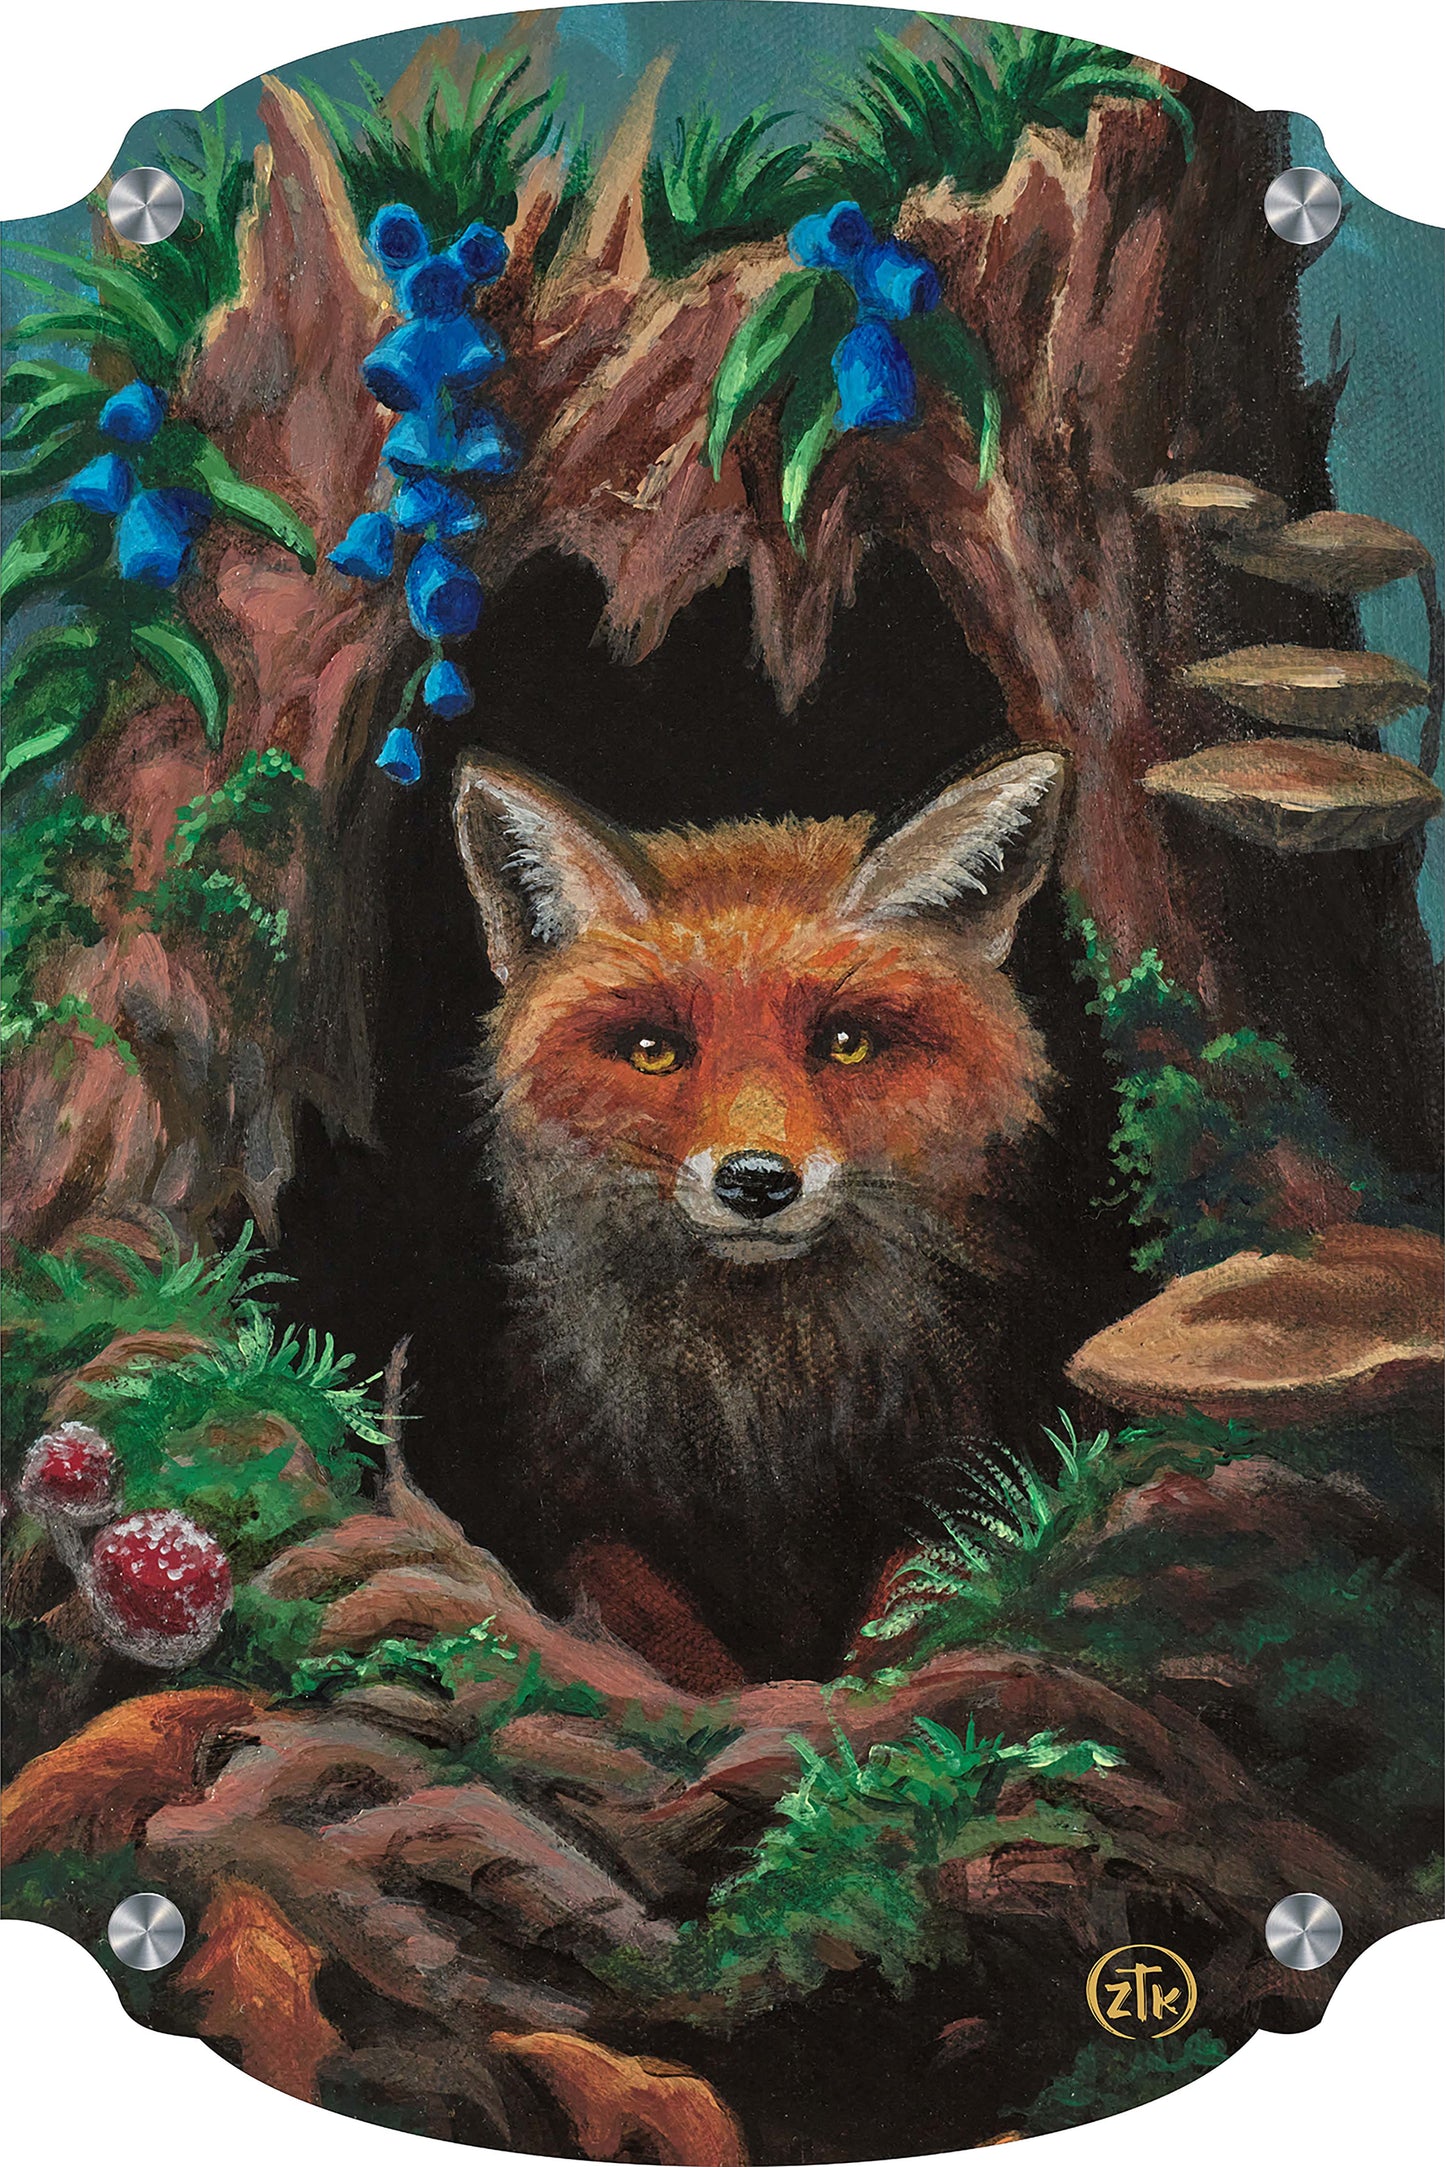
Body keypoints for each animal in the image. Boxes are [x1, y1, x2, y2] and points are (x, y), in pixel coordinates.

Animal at [453, 748, 1070, 1678]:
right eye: (654, 1050)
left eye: (845, 1043)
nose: (755, 1182)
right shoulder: (583, 1517)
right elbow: (670, 1644)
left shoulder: (953, 1483)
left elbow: (901, 1621)